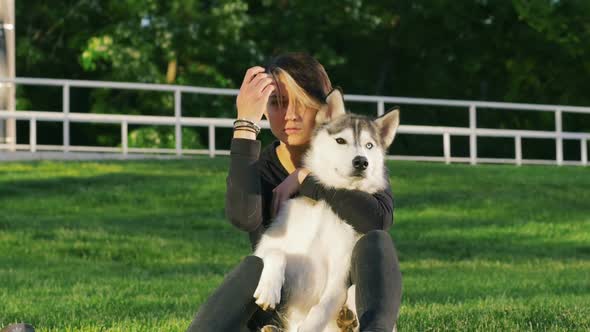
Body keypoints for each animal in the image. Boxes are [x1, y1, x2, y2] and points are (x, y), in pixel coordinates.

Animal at [254, 90, 402, 332]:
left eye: (369, 145)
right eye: (341, 140)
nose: (361, 162)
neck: (326, 203)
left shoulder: (338, 275)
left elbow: (320, 310)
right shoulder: (269, 247)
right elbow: (275, 253)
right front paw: (268, 288)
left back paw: (347, 318)